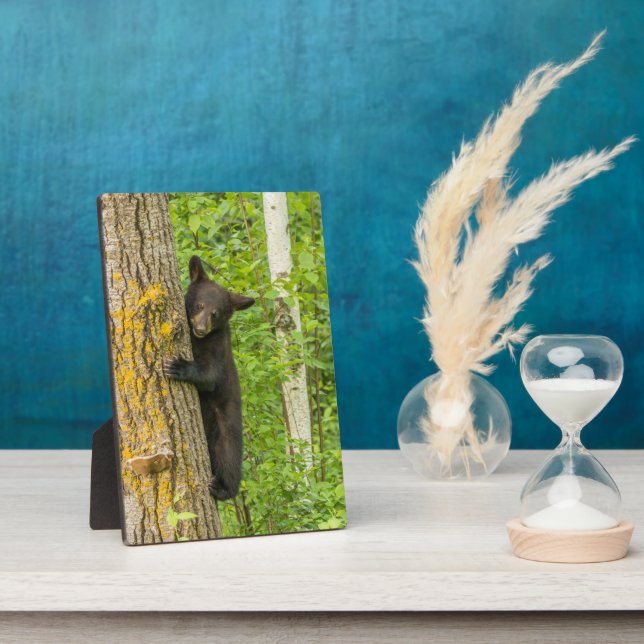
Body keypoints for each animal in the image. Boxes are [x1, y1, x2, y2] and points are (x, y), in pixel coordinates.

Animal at [164, 255, 255, 501]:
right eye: (200, 305)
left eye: (216, 313)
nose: (201, 328)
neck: (198, 340)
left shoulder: (218, 348)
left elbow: (210, 375)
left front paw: (178, 366)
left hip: (225, 428)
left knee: (227, 457)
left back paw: (222, 488)